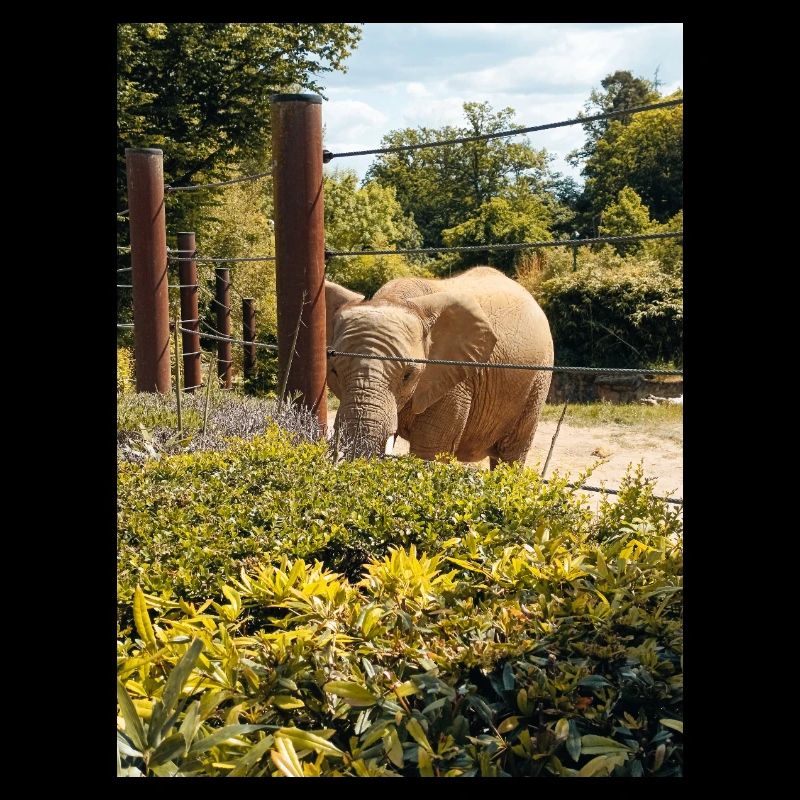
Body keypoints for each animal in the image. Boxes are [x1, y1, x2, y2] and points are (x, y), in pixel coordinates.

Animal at [325, 266, 554, 468]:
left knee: (512, 454)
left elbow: (430, 451)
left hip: (538, 381)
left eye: (408, 375)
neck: (397, 298)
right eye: (334, 372)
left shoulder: (455, 380)